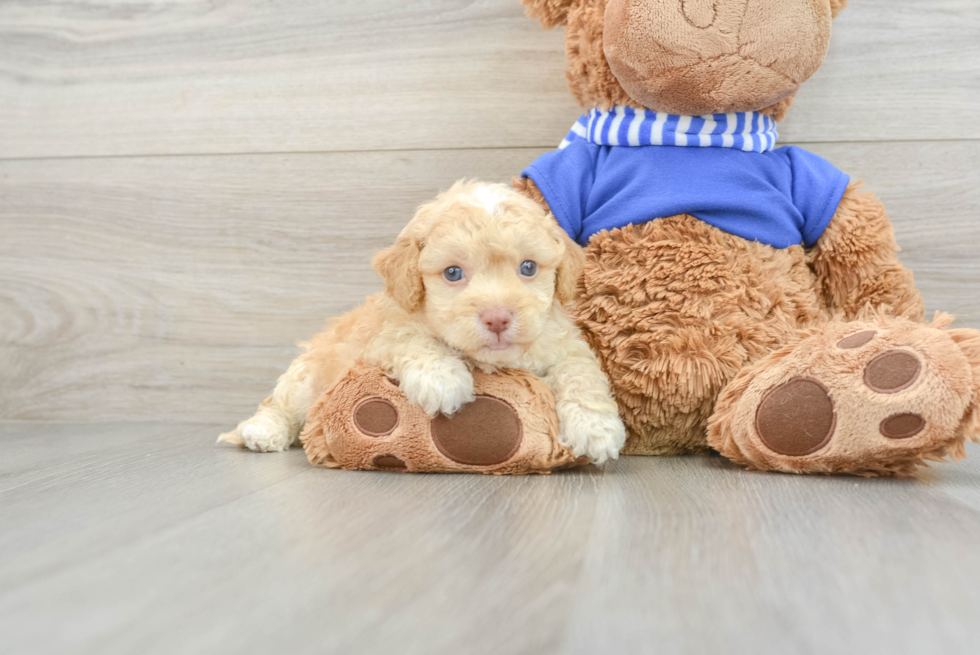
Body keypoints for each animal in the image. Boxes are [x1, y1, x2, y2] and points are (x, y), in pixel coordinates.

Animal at [219, 182, 624, 464]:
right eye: (453, 272)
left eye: (528, 267)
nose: (497, 318)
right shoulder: (385, 335)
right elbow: (412, 338)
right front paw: (442, 379)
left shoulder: (563, 343)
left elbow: (581, 373)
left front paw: (596, 428)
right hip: (306, 376)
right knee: (280, 405)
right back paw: (261, 431)